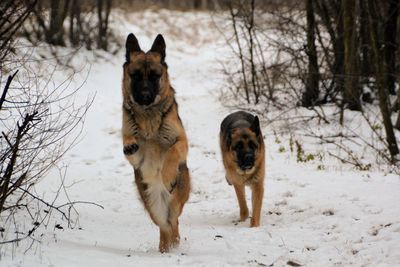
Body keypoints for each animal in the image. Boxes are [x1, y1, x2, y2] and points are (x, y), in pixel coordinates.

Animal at [122, 33, 191, 253]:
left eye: (154, 76)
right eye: (135, 75)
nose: (144, 96)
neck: (148, 116)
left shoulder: (181, 141)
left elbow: (172, 152)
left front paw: (167, 176)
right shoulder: (137, 156)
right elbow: (129, 143)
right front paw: (130, 143)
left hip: (175, 202)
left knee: (174, 222)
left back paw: (174, 246)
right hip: (151, 206)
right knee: (164, 226)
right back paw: (165, 249)